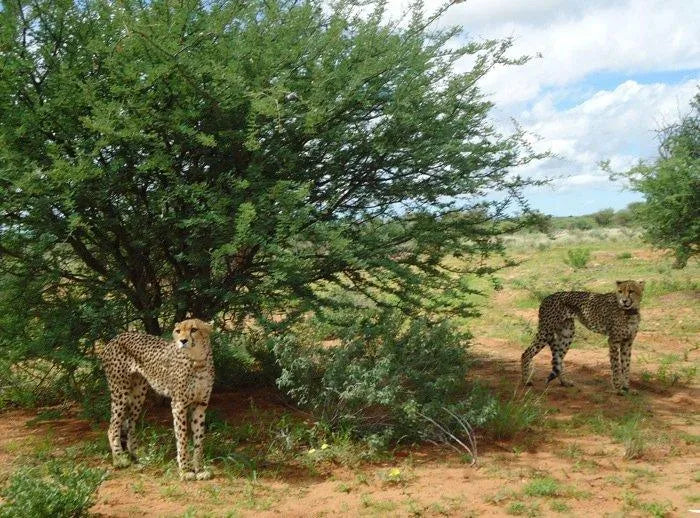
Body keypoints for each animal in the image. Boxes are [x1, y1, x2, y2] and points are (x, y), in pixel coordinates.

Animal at [99, 318, 215, 480]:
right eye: (178, 331)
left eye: (194, 329)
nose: (183, 341)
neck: (198, 361)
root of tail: (115, 338)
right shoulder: (179, 405)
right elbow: (182, 438)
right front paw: (185, 470)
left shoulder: (201, 405)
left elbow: (199, 439)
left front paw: (200, 469)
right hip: (120, 392)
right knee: (113, 427)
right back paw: (120, 459)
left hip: (138, 394)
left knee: (129, 424)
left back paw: (137, 456)